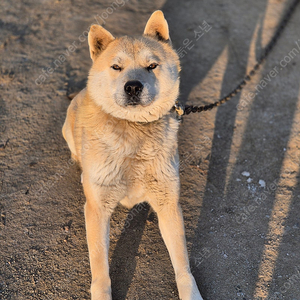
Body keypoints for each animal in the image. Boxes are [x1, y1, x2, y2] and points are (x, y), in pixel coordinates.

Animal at [63, 9, 204, 300]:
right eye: (116, 67)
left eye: (152, 66)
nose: (133, 87)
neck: (134, 130)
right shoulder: (97, 209)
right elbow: (100, 269)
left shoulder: (168, 203)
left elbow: (182, 265)